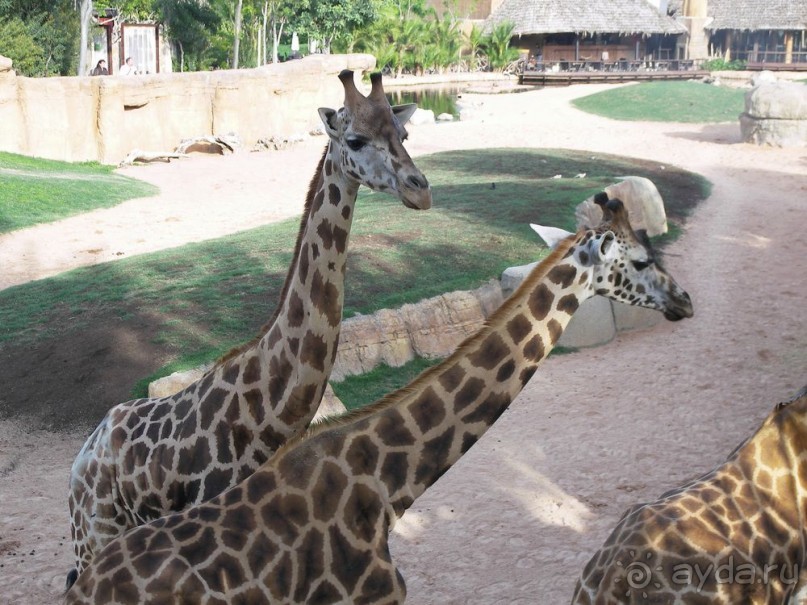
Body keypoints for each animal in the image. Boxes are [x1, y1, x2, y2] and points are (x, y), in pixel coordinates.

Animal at [68, 68, 436, 588]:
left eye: (403, 134)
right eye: (355, 139)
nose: (420, 190)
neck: (266, 421)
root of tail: (82, 457)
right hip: (93, 539)